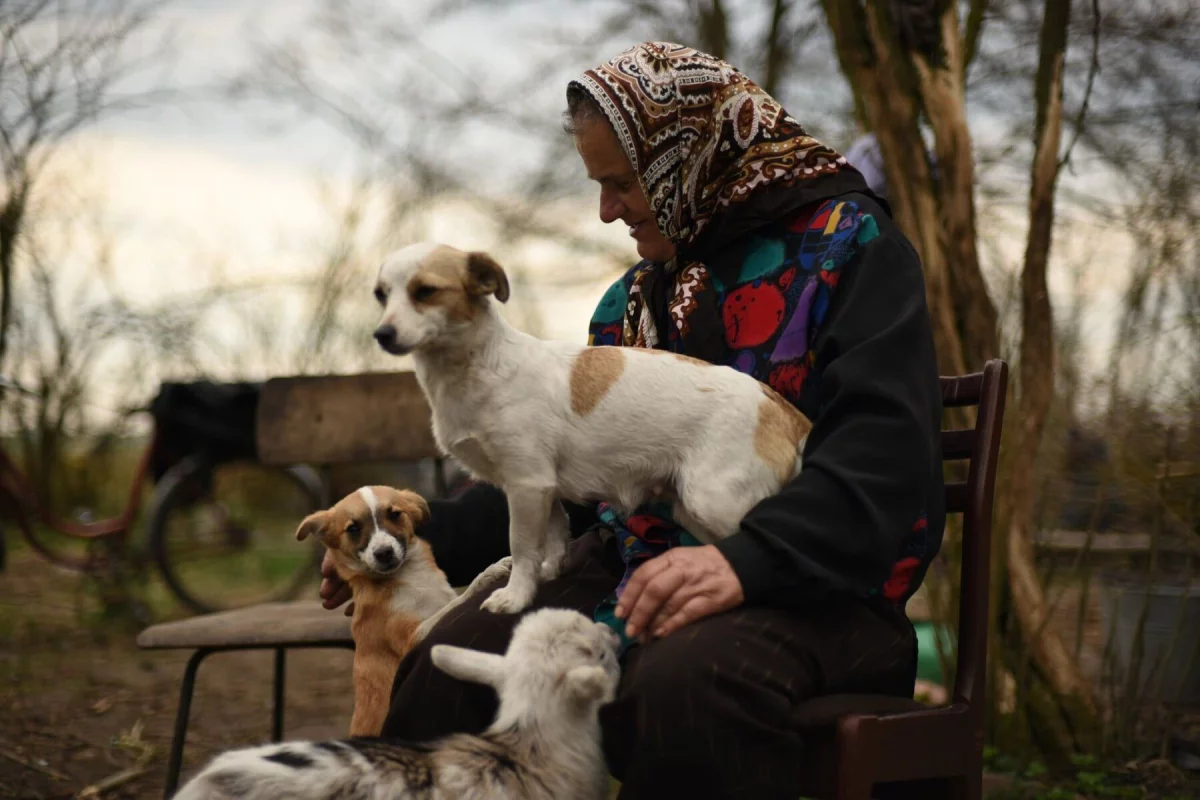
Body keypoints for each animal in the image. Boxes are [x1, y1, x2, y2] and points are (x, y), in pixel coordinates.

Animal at [369, 242, 811, 614]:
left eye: (425, 291)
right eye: (380, 295)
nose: (381, 334)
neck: (474, 368)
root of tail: (784, 411)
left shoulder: (526, 484)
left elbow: (522, 547)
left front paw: (515, 596)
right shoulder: (542, 488)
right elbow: (553, 536)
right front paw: (548, 573)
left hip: (711, 501)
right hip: (691, 511)